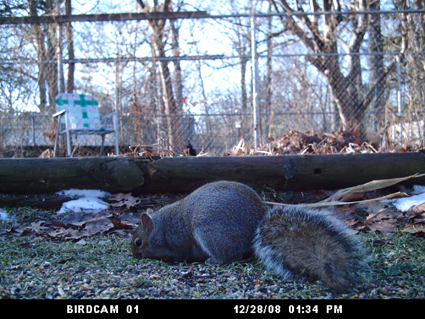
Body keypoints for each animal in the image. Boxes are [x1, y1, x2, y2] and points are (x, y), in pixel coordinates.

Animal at [131, 181, 362, 294]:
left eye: (138, 242)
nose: (134, 256)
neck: (161, 227)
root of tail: (256, 222)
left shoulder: (177, 238)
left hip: (210, 231)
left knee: (229, 255)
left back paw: (213, 260)